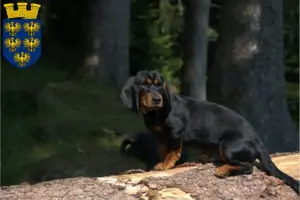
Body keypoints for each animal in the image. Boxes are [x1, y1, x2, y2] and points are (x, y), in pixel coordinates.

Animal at [120, 70, 300, 195]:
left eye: (159, 85)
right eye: (144, 84)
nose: (157, 99)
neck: (155, 113)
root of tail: (258, 140)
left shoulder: (176, 132)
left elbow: (173, 152)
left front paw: (167, 165)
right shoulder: (161, 136)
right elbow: (163, 150)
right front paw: (161, 163)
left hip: (227, 146)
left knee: (248, 166)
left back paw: (224, 169)